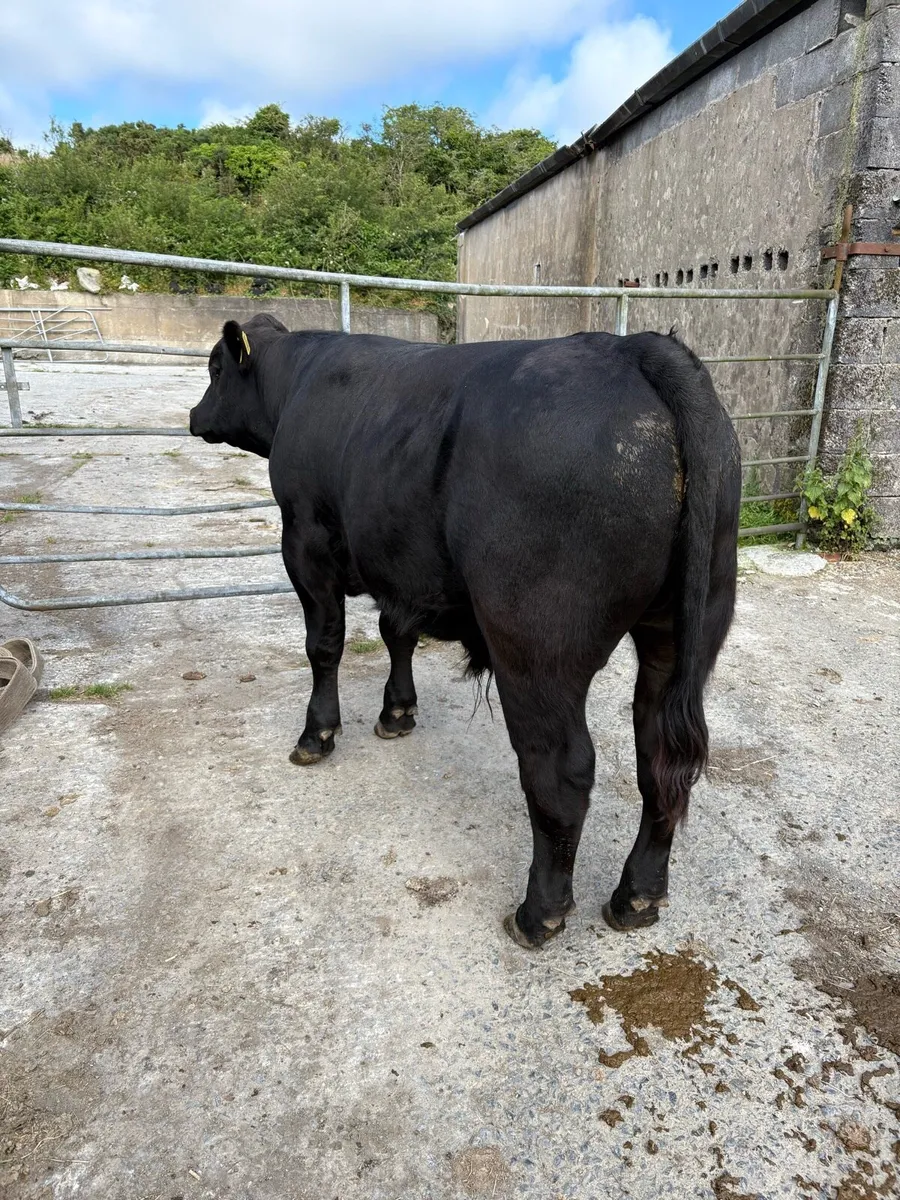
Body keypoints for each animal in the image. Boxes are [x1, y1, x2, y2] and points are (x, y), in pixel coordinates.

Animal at [189, 314, 741, 948]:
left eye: (214, 367)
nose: (194, 415)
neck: (298, 380)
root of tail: (636, 348)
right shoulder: (400, 565)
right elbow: (395, 632)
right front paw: (397, 712)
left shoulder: (305, 541)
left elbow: (323, 645)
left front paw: (317, 735)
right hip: (680, 630)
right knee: (661, 760)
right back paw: (637, 895)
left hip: (535, 645)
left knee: (561, 771)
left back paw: (539, 912)